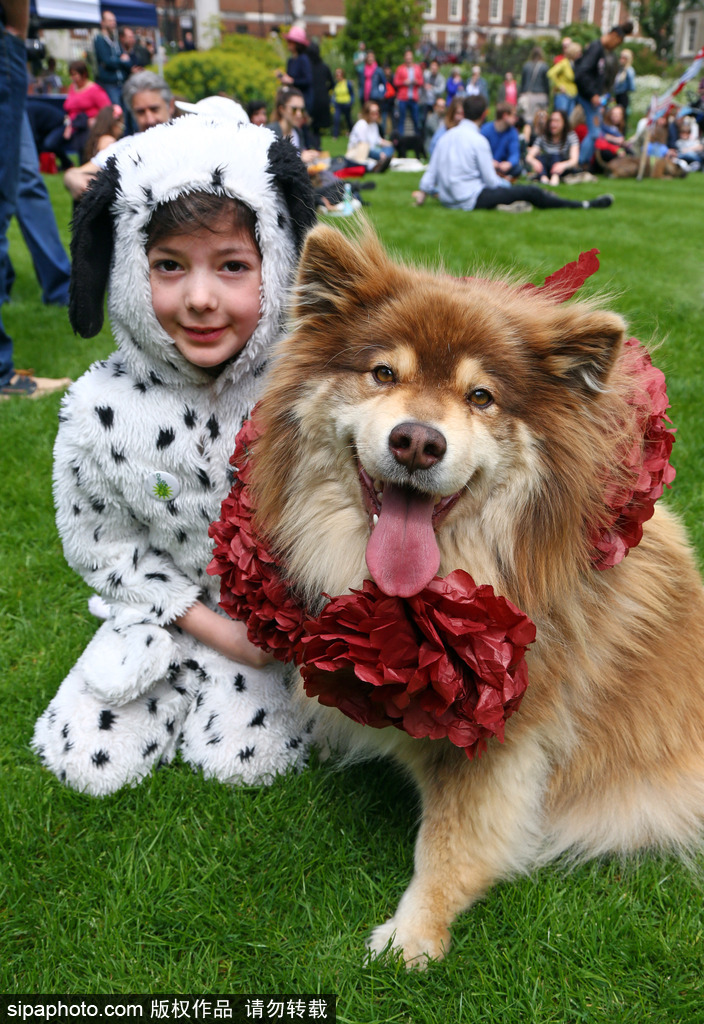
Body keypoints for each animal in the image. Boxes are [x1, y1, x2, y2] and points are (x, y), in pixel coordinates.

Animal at [232, 224, 704, 966]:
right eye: (384, 373)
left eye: (481, 396)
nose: (417, 442)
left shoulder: (505, 738)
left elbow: (450, 841)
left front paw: (413, 935)